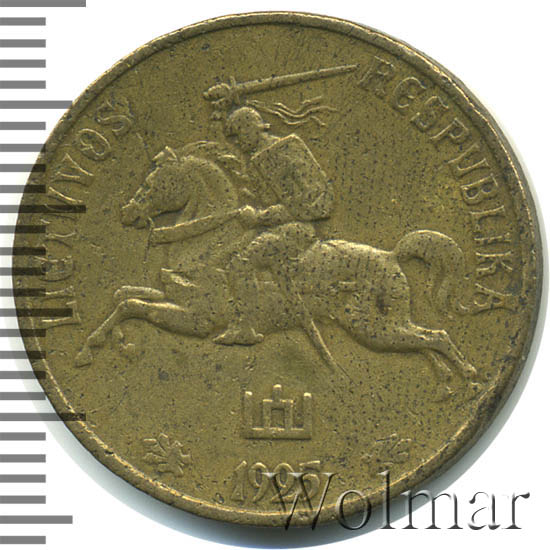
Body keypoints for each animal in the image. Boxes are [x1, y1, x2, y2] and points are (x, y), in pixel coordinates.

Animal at [74, 141, 477, 395]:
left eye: (154, 182)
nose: (127, 211)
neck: (208, 244)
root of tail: (392, 255)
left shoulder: (199, 319)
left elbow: (134, 306)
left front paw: (96, 344)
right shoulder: (172, 295)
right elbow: (124, 294)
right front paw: (110, 342)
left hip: (372, 327)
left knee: (437, 337)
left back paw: (469, 378)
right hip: (383, 326)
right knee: (426, 339)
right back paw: (444, 381)